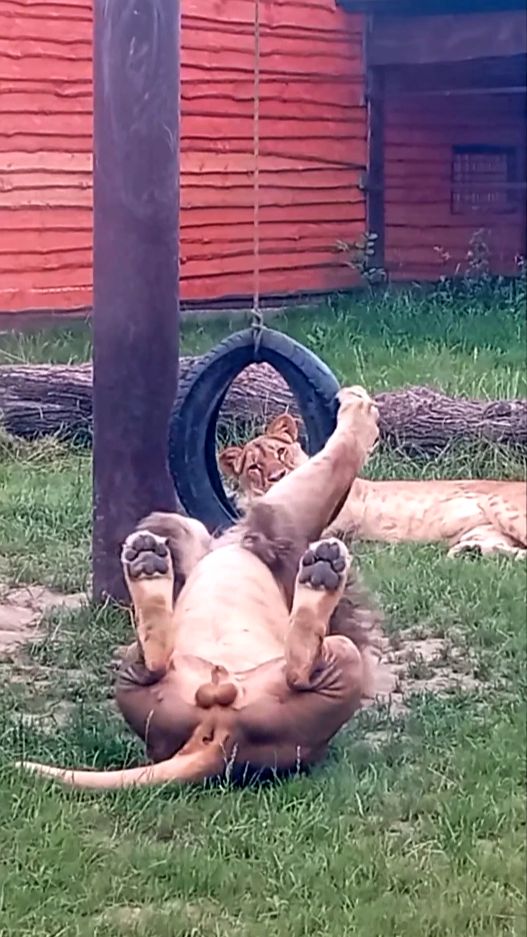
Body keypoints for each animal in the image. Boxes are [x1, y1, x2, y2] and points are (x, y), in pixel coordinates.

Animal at [17, 386, 394, 790]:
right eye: (254, 467)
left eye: (280, 453)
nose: (276, 475)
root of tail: (221, 741)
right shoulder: (278, 522)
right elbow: (337, 459)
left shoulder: (281, 520)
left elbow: (340, 457)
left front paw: (359, 408)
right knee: (166, 662)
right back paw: (149, 564)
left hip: (338, 657)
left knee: (295, 669)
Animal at [219, 413, 527, 559]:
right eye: (255, 467)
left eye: (280, 452)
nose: (277, 475)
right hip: (484, 535)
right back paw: (471, 553)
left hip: (502, 508)